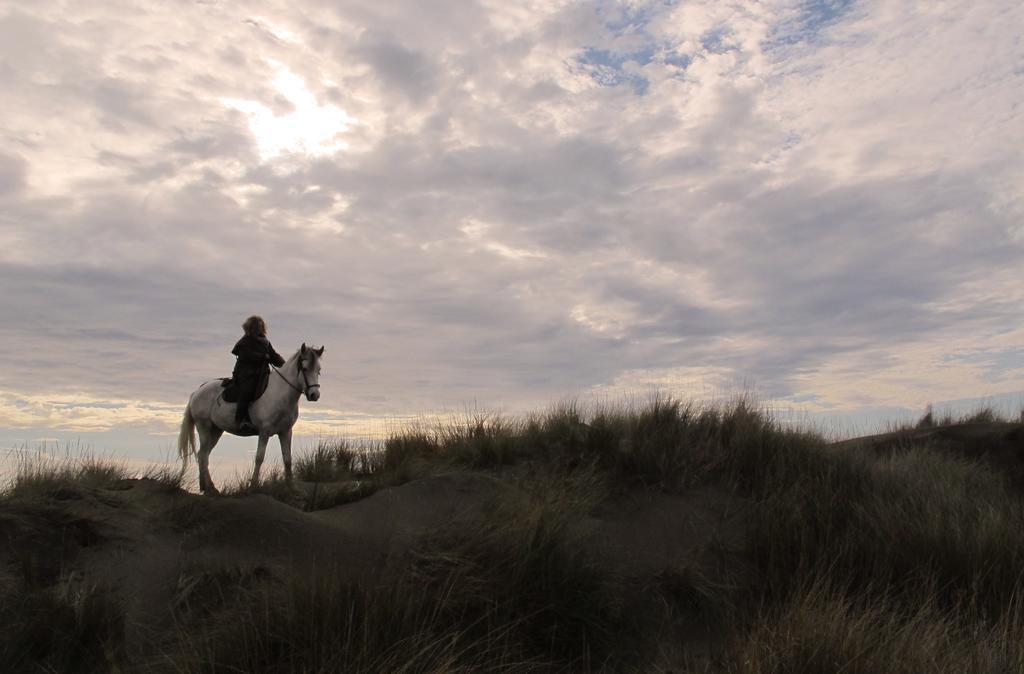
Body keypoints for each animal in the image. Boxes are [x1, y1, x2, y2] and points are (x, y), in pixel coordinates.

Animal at [178, 344, 323, 491]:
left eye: (318, 370)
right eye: (304, 368)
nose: (314, 395)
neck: (280, 394)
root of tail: (197, 391)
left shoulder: (285, 432)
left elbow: (287, 459)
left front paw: (291, 486)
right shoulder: (264, 431)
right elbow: (259, 457)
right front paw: (253, 485)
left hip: (216, 430)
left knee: (204, 454)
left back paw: (209, 487)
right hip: (204, 427)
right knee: (203, 454)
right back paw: (207, 487)